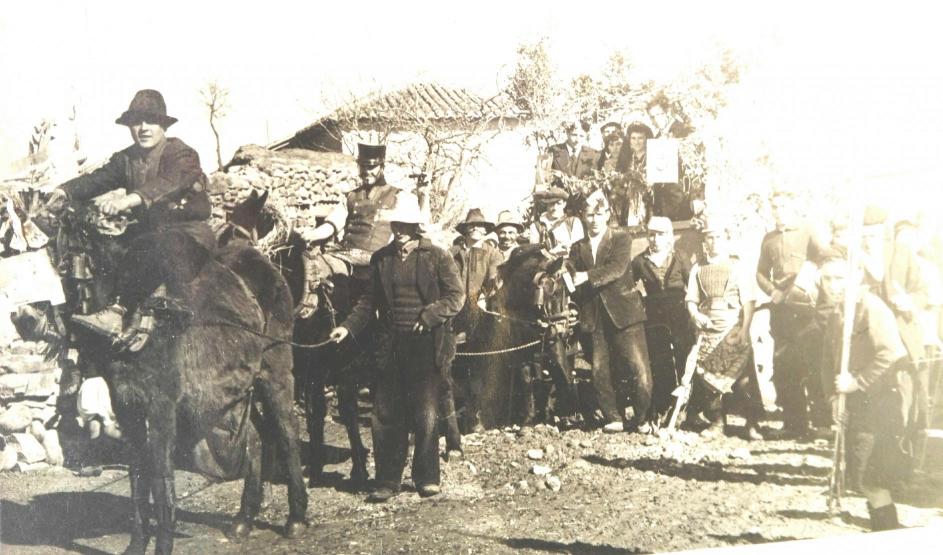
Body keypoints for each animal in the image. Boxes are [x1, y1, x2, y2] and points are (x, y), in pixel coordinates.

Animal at [24, 198, 308, 554]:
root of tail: (263, 262)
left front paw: (162, 543)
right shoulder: (127, 406)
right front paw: (136, 544)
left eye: (63, 264)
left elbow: (161, 480)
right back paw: (244, 518)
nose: (28, 318)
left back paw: (296, 519)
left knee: (287, 434)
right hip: (236, 389)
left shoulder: (161, 407)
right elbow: (137, 477)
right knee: (256, 438)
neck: (133, 325)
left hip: (274, 371)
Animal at [220, 190, 370, 489]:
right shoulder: (296, 369)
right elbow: (288, 416)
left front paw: (347, 471)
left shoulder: (331, 369)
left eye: (237, 235)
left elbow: (330, 413)